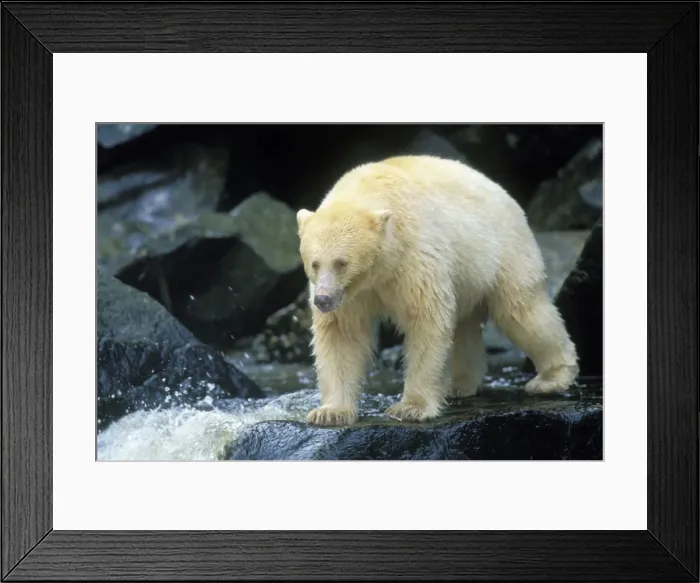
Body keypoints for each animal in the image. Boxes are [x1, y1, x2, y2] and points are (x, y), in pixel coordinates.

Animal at [296, 154, 579, 427]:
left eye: (341, 263)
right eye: (314, 263)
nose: (322, 299)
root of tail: (501, 190)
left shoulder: (412, 257)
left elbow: (425, 320)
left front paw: (411, 408)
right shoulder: (351, 295)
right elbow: (342, 334)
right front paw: (330, 413)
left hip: (503, 249)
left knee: (522, 311)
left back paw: (552, 378)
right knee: (466, 327)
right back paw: (461, 385)